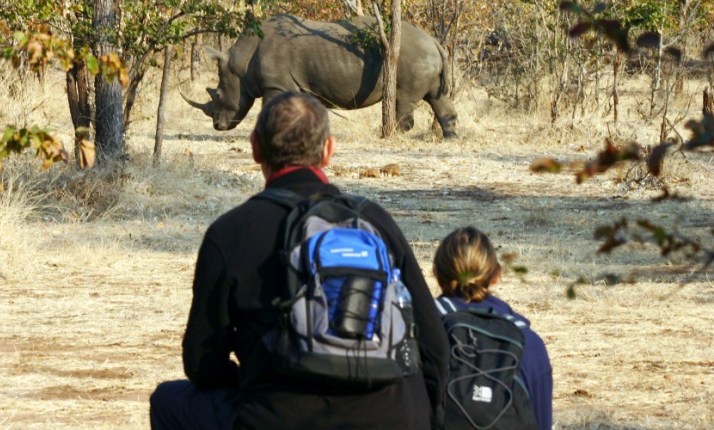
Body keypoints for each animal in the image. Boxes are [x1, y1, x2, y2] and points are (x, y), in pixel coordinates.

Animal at [183, 14, 458, 138]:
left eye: (218, 94)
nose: (217, 126)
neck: (241, 62)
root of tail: (434, 41)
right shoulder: (296, 85)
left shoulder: (275, 85)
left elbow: (269, 109)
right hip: (426, 55)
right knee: (437, 98)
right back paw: (450, 139)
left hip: (413, 55)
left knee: (404, 99)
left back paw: (394, 135)